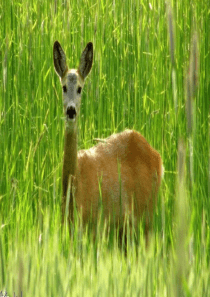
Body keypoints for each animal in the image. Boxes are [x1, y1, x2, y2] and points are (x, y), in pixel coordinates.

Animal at [53, 40, 164, 238]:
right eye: (64, 87)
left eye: (80, 88)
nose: (71, 111)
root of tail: (157, 157)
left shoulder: (94, 225)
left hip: (146, 213)